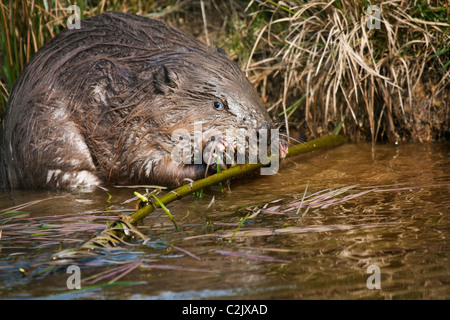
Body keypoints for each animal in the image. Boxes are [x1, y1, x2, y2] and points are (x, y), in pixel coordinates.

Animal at [0, 11, 282, 189]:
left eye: (251, 88)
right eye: (217, 104)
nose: (265, 131)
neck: (135, 94)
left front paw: (279, 147)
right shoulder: (123, 128)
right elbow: (144, 167)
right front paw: (216, 153)